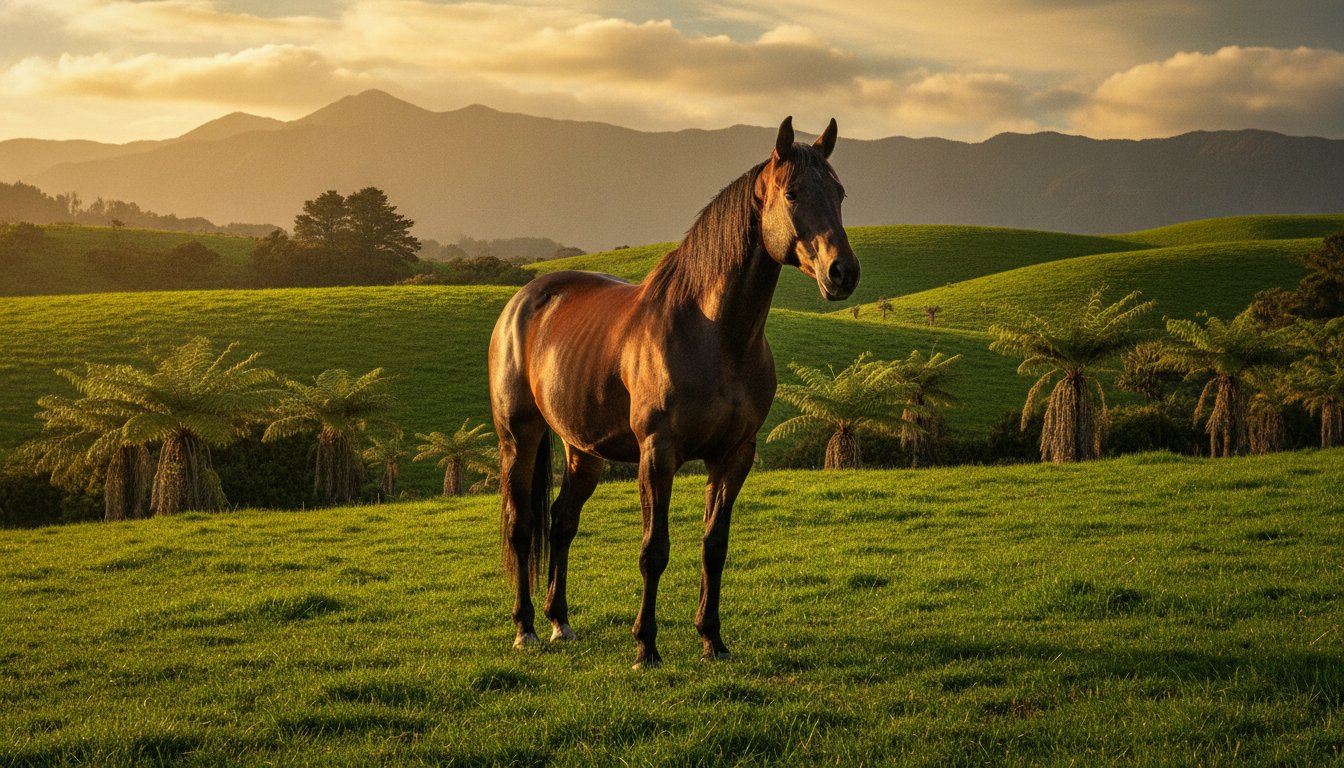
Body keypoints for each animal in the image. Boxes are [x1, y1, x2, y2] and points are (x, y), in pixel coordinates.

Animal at [487, 116, 859, 668]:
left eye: (839, 193)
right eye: (792, 192)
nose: (843, 272)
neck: (713, 334)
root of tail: (524, 300)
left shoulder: (734, 454)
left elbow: (714, 545)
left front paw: (712, 639)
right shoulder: (657, 453)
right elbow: (654, 550)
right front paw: (646, 646)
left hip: (583, 450)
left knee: (561, 522)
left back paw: (560, 622)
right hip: (520, 437)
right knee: (520, 526)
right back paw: (526, 629)